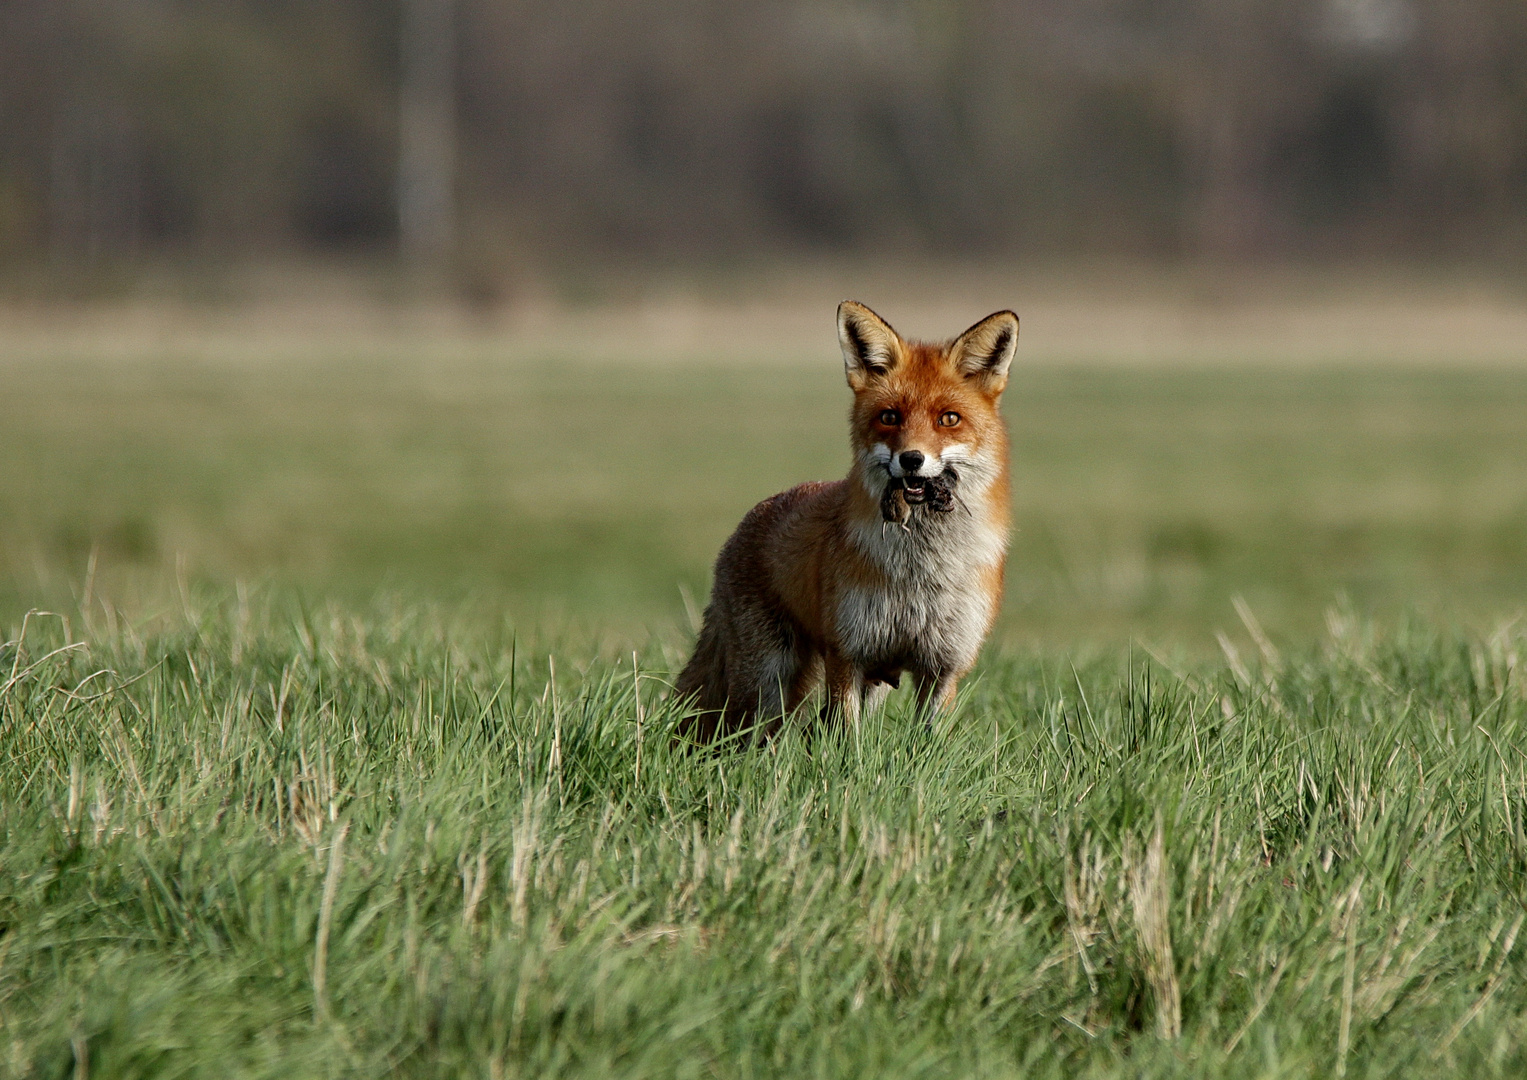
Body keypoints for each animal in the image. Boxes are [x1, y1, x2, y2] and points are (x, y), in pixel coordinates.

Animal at [677, 303, 1013, 742]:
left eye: (949, 419)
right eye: (890, 417)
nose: (912, 459)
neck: (919, 572)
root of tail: (748, 521)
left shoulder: (943, 664)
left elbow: (924, 744)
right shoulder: (848, 651)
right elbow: (847, 740)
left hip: (870, 682)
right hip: (766, 679)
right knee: (752, 737)